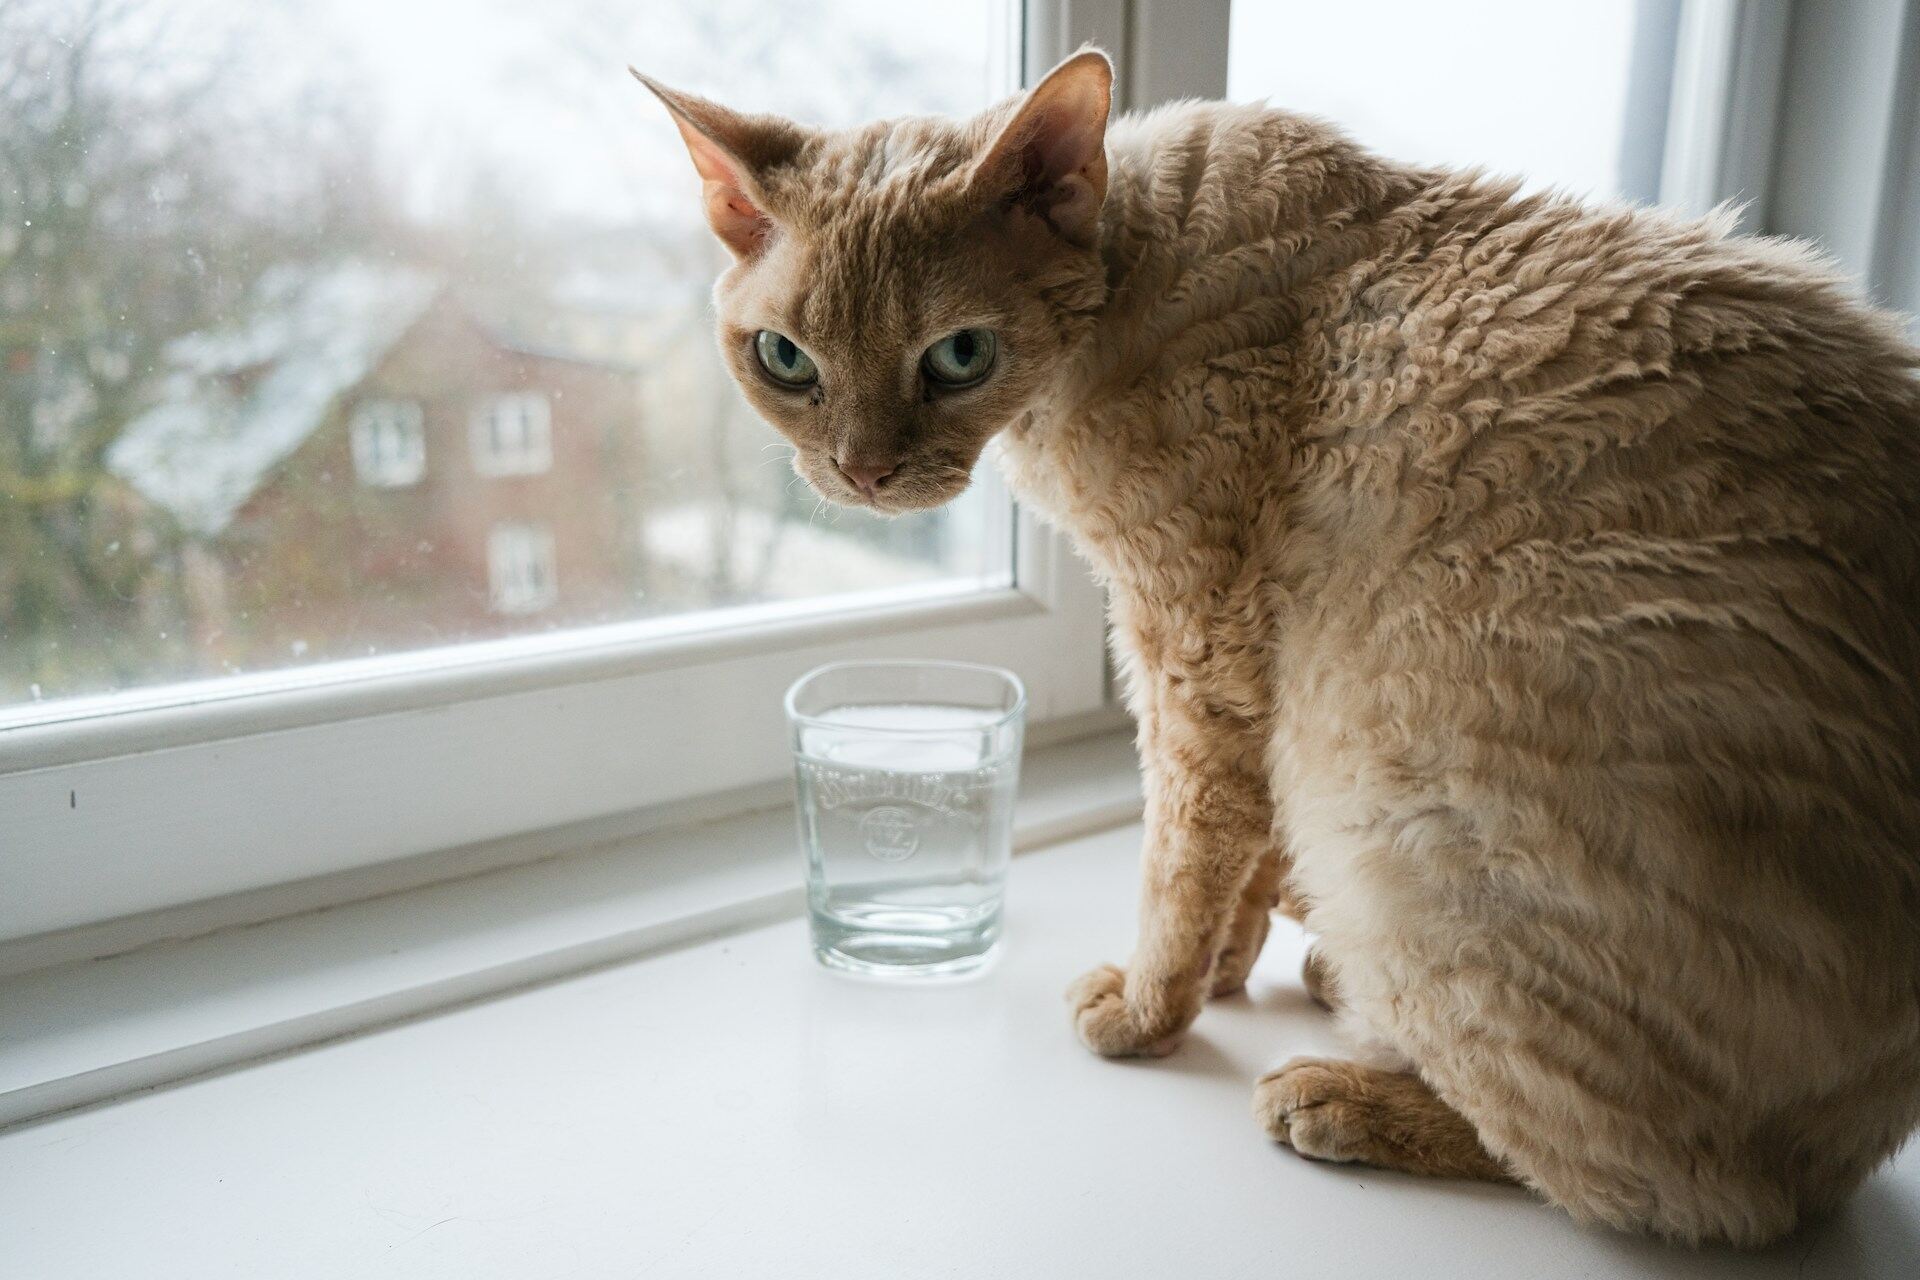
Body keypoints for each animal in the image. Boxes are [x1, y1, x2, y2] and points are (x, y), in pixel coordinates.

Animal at [641, 52, 1920, 1251]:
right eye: (786, 360)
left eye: (958, 355)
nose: (861, 471)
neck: (1135, 267)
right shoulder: (1254, 669)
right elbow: (1238, 855)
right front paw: (1225, 964)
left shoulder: (1194, 650)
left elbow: (1181, 853)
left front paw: (1150, 1007)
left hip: (1381, 792)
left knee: (1681, 1190)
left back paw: (1350, 1094)